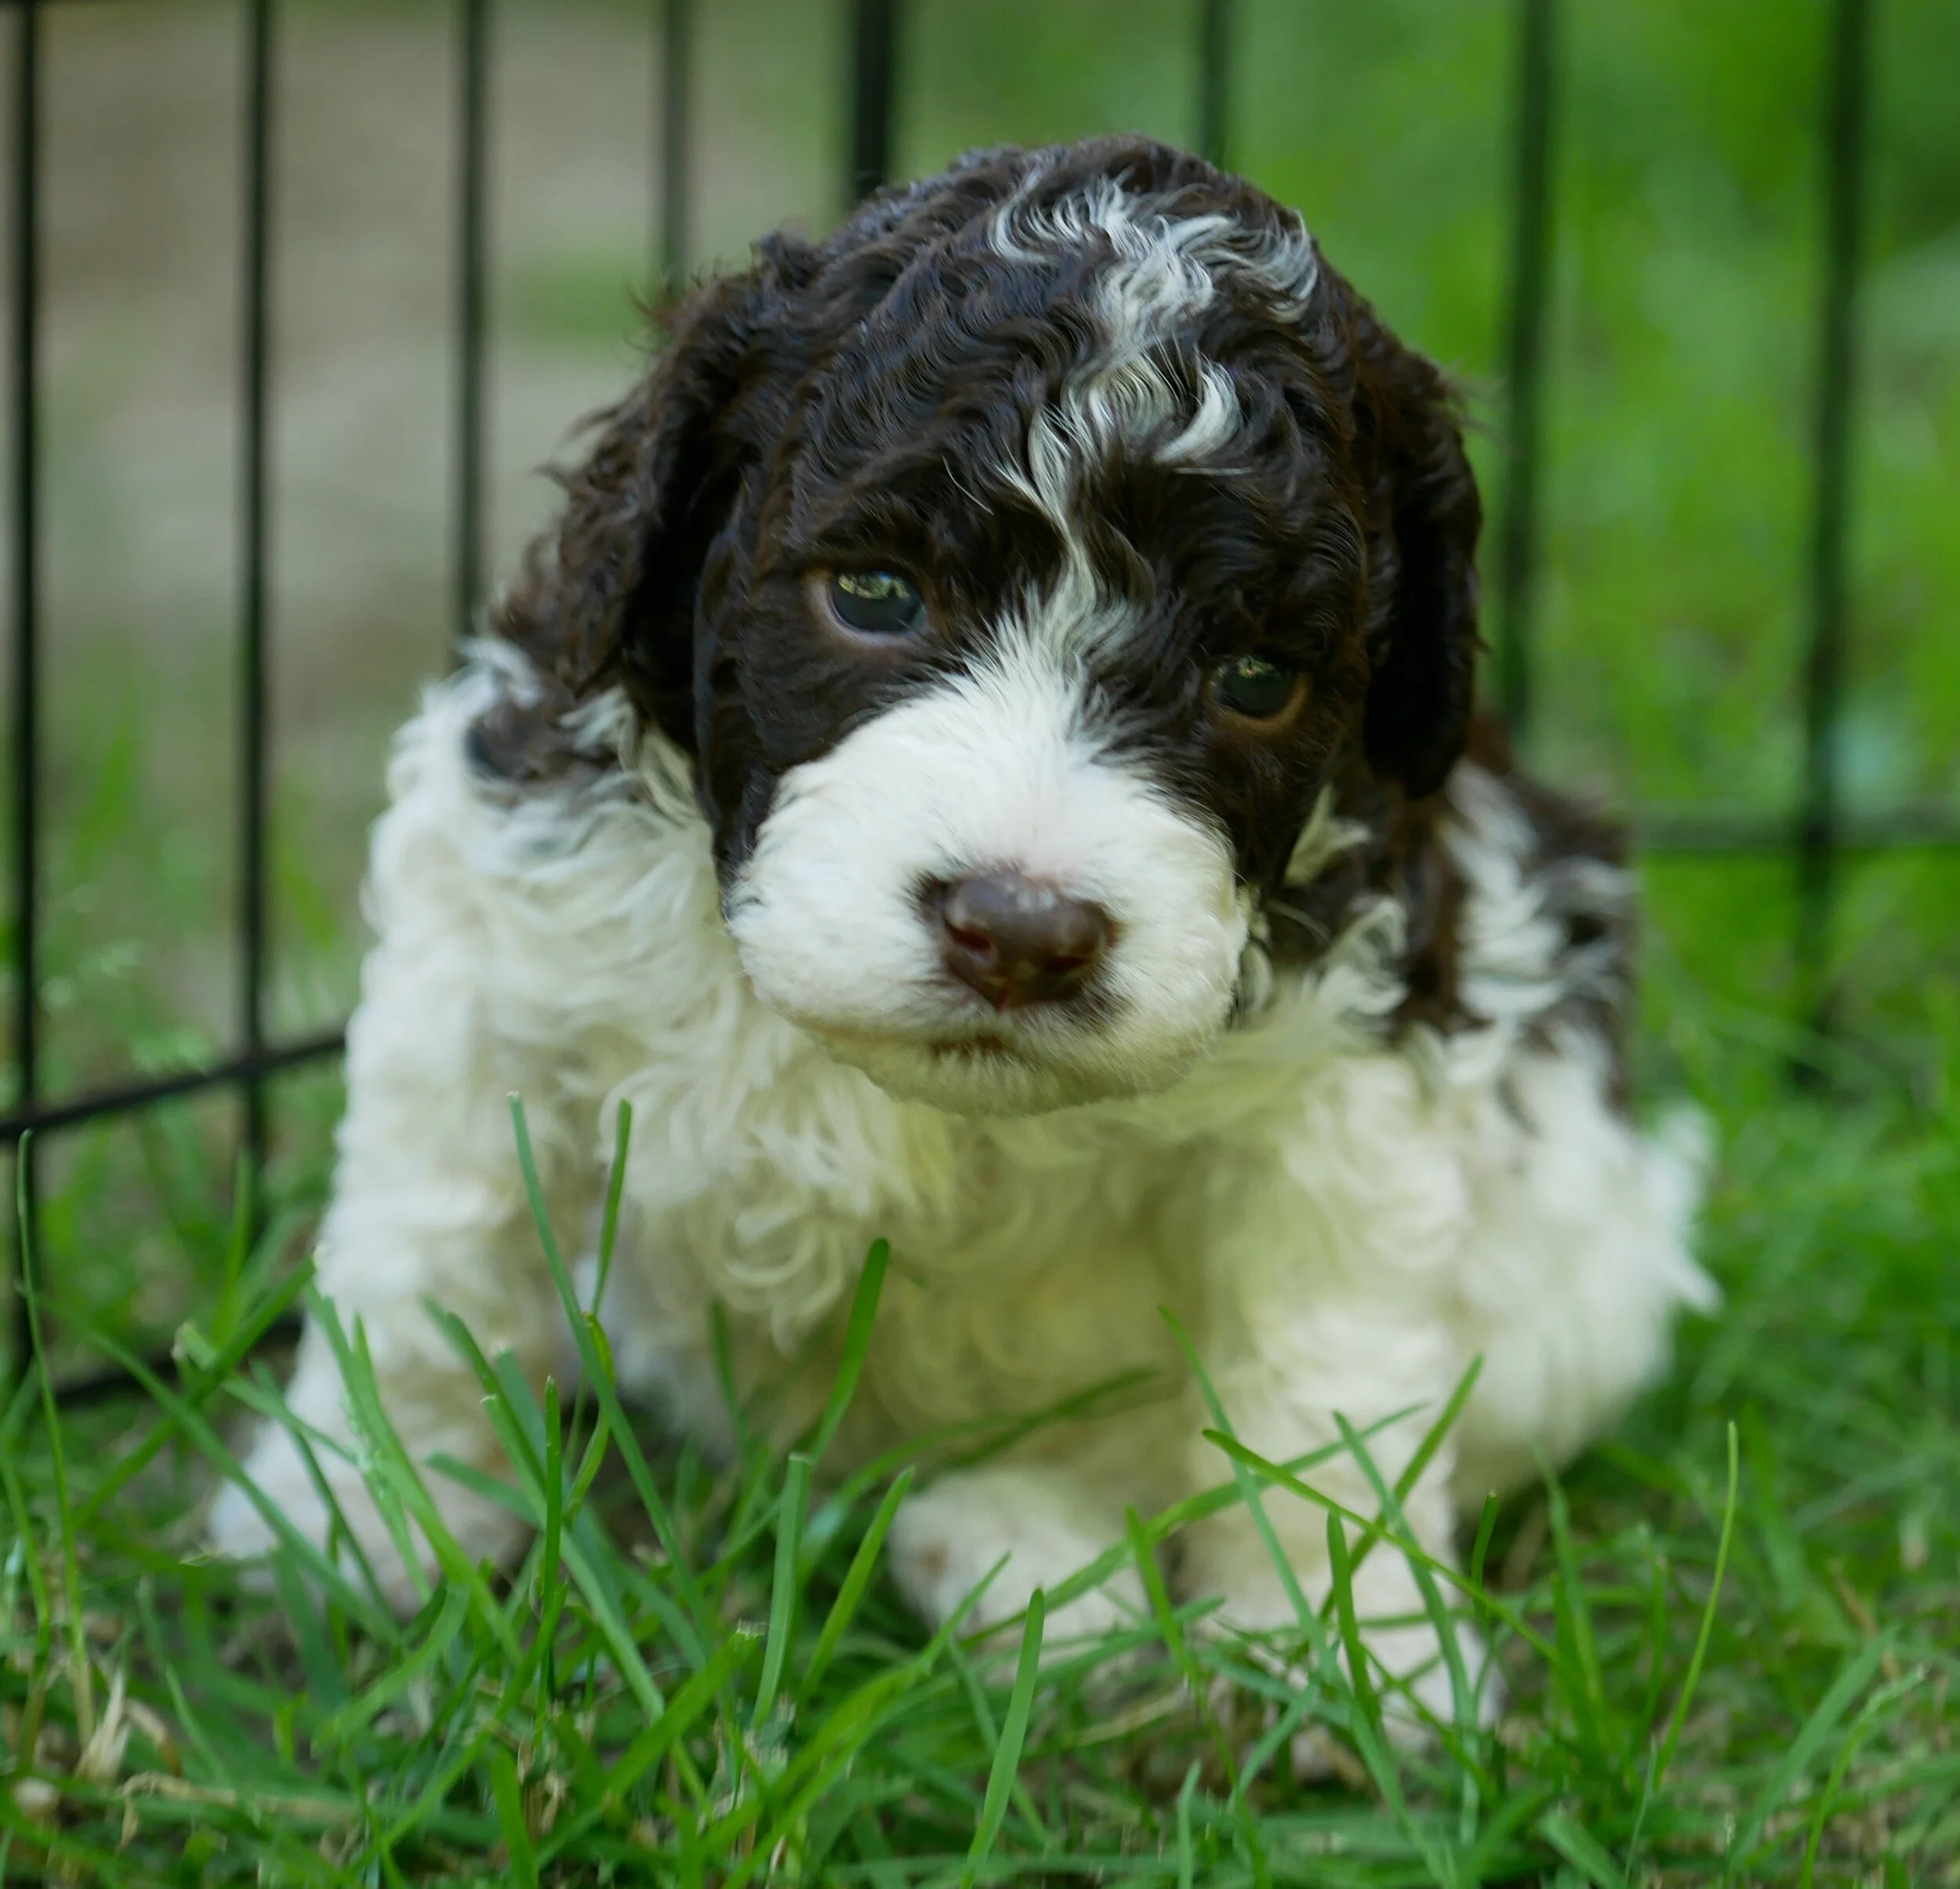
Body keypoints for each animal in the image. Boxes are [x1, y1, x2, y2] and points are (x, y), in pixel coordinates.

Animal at [212, 136, 1713, 1725]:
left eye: (1256, 679)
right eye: (874, 593)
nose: (1021, 930)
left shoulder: (1355, 1077)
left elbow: (1328, 1379)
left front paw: (1350, 1652)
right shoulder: (499, 929)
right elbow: (429, 1261)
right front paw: (355, 1526)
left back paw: (1015, 1552)